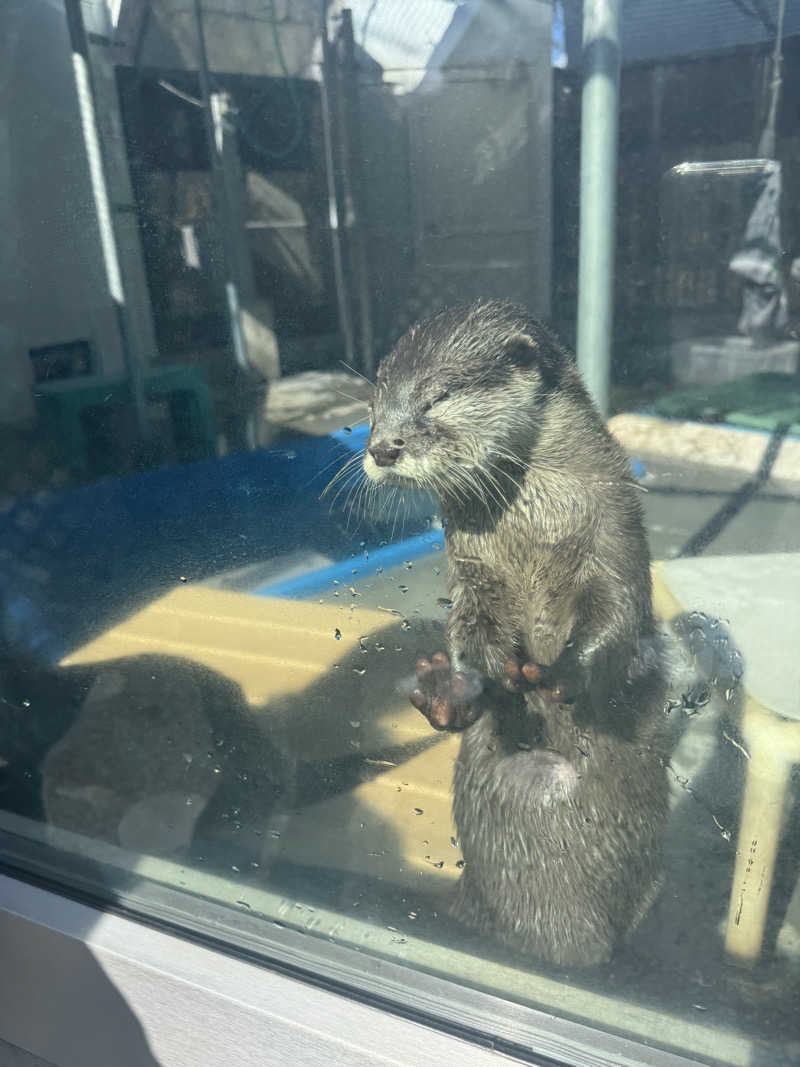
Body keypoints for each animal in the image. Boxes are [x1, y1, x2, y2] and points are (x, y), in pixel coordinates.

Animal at [362, 300, 669, 968]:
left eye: (438, 397)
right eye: (375, 400)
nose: (382, 448)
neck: (534, 525)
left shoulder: (613, 536)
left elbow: (618, 616)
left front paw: (565, 673)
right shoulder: (473, 576)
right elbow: (471, 628)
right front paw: (464, 687)